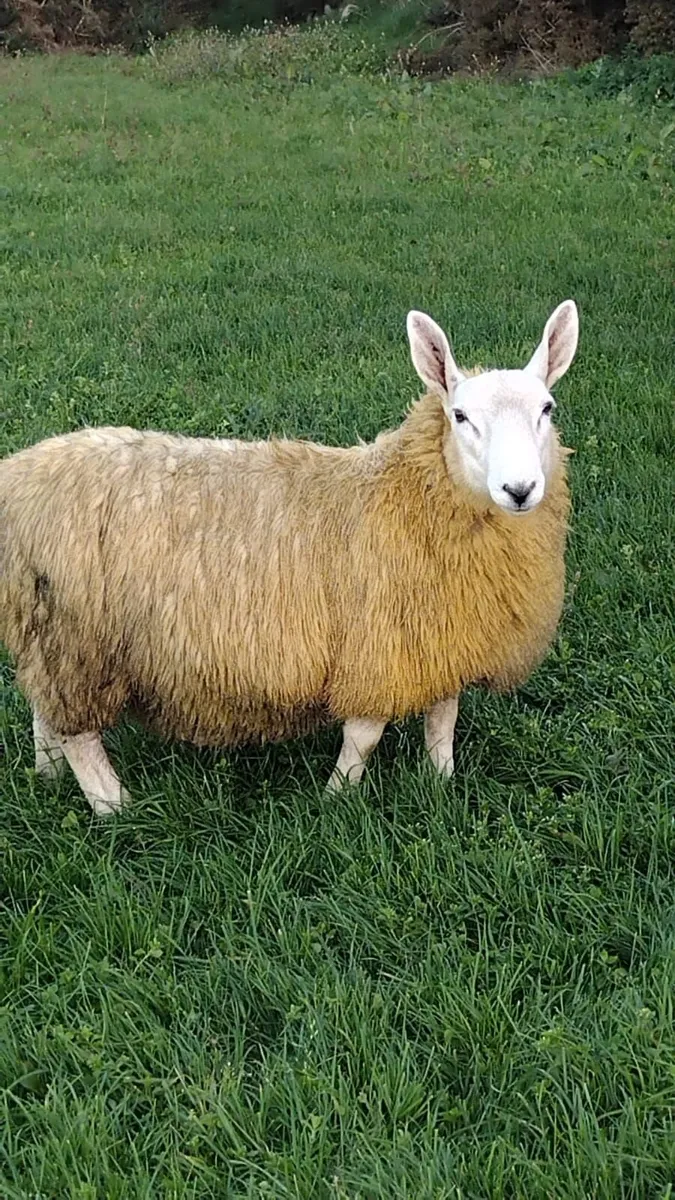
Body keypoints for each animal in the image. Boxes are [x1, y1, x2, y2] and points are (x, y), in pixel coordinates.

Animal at [0, 300, 579, 814]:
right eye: (459, 416)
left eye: (547, 409)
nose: (520, 489)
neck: (406, 494)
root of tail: (18, 476)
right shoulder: (373, 645)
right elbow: (365, 734)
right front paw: (338, 796)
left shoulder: (444, 637)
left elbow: (444, 718)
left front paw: (441, 782)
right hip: (78, 639)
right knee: (79, 734)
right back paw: (114, 808)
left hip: (45, 629)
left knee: (45, 714)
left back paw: (46, 774)